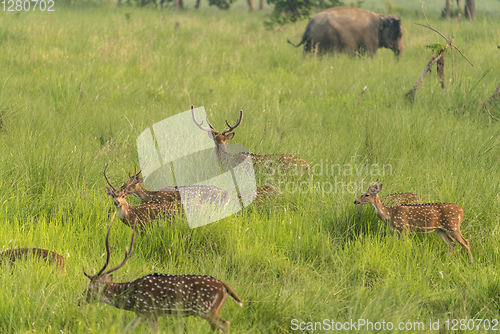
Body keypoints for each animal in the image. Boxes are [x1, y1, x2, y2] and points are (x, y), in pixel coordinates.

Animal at [81, 213, 242, 332]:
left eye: (90, 288)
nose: (79, 300)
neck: (131, 299)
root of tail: (224, 286)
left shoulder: (150, 311)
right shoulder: (141, 314)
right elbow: (127, 329)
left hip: (207, 309)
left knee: (225, 324)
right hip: (212, 310)